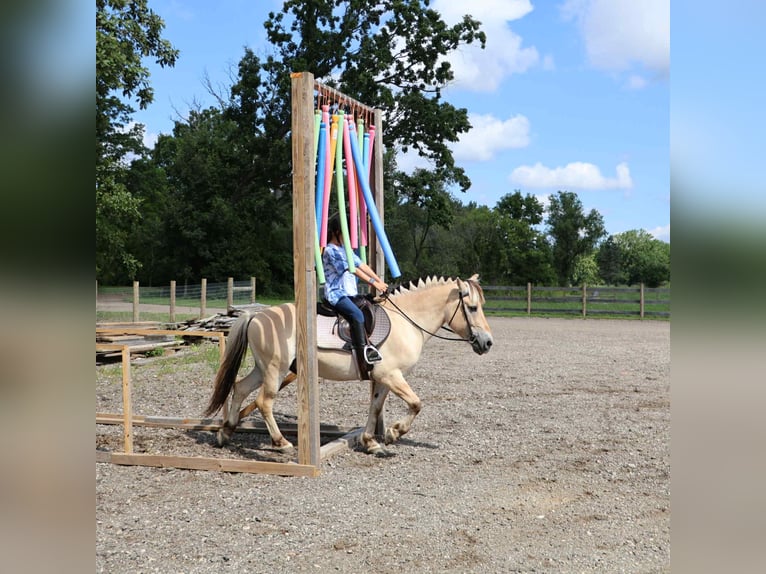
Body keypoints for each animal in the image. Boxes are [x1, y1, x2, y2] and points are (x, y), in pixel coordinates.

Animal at [204, 274, 493, 455]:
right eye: (473, 308)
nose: (487, 342)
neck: (407, 321)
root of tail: (256, 316)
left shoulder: (383, 379)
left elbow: (375, 407)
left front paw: (371, 442)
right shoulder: (392, 376)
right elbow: (416, 404)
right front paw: (394, 433)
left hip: (263, 368)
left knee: (240, 388)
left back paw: (225, 433)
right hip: (276, 370)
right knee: (264, 401)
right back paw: (281, 442)